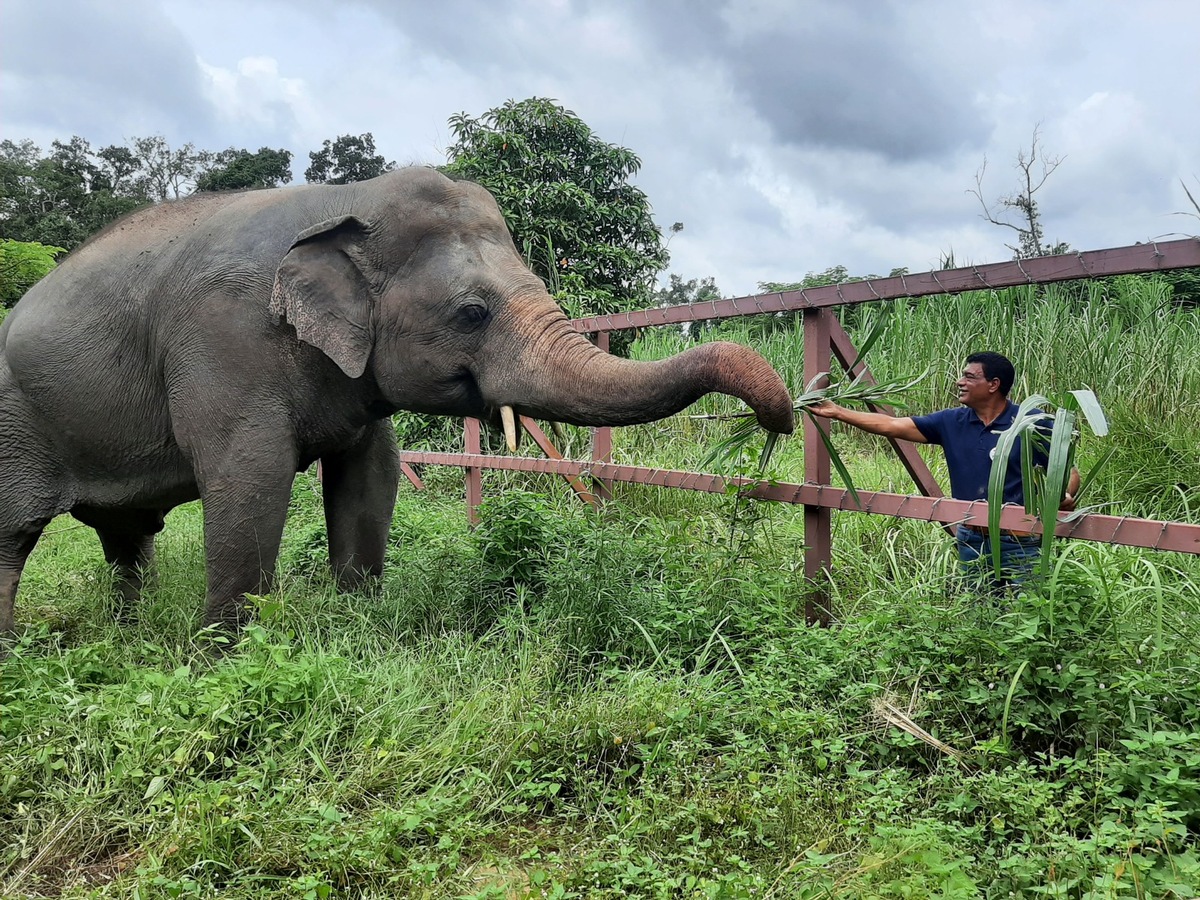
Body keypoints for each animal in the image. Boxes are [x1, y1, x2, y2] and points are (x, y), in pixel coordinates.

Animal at [0, 168, 796, 633]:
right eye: (471, 313)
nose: (778, 418)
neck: (341, 201)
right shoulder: (221, 340)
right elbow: (248, 477)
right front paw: (223, 652)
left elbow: (371, 475)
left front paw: (356, 619)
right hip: (14, 425)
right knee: (14, 534)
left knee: (126, 537)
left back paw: (126, 632)